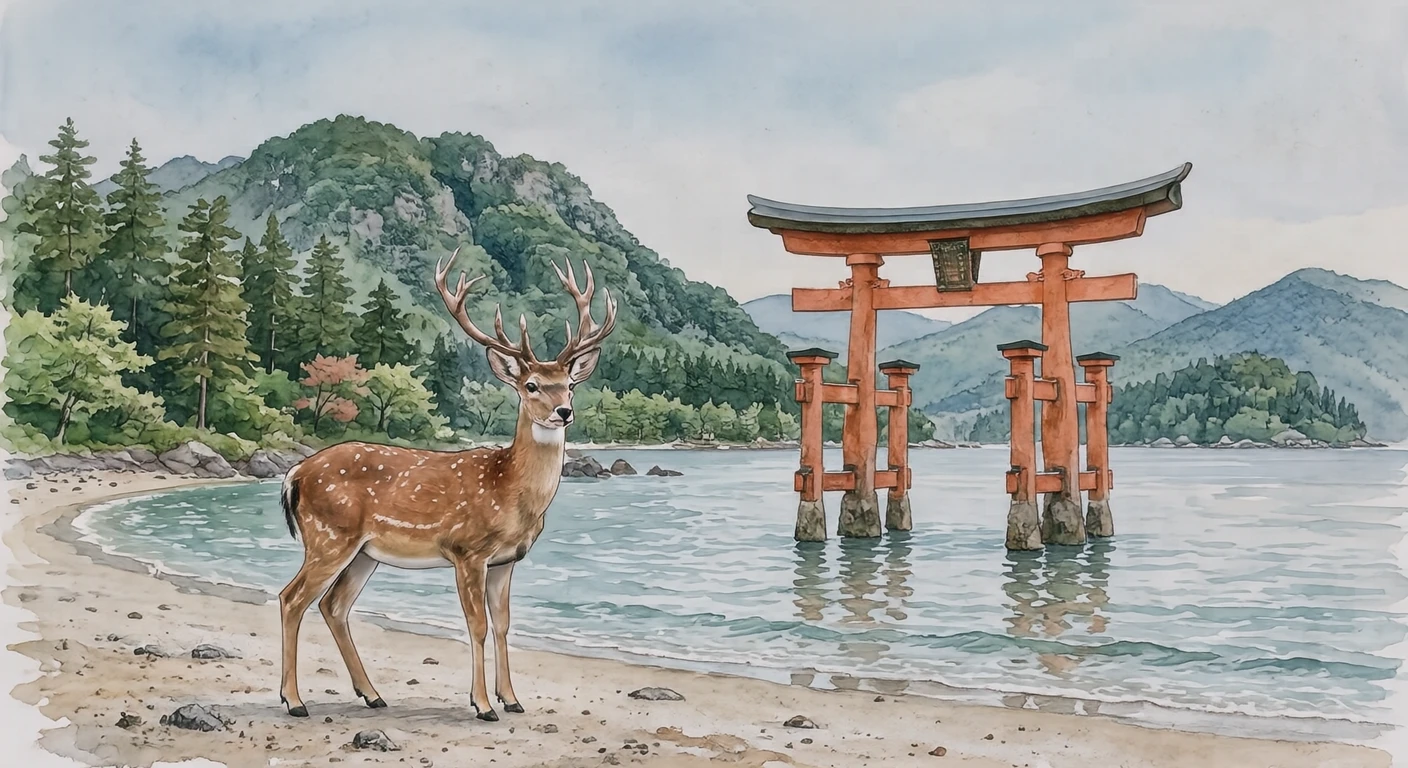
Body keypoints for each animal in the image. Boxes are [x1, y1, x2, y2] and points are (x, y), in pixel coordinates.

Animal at [275, 246, 616, 721]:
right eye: (531, 385)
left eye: (569, 384)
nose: (563, 412)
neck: (509, 489)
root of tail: (294, 474)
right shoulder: (467, 550)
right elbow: (476, 626)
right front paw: (483, 704)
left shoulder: (507, 561)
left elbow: (503, 624)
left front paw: (512, 699)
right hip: (329, 536)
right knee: (292, 598)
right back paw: (294, 701)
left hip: (363, 552)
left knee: (333, 605)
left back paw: (372, 694)